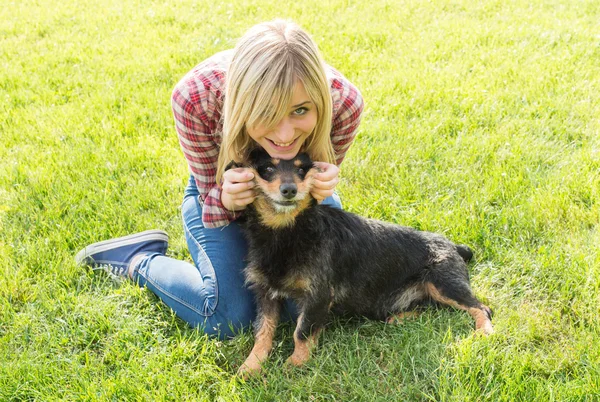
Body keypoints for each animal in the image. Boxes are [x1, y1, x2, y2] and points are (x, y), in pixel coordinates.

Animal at [230, 148, 492, 376]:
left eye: (302, 170)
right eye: (267, 168)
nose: (289, 190)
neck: (287, 231)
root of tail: (453, 245)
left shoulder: (318, 295)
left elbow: (302, 331)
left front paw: (294, 364)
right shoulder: (266, 292)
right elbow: (263, 331)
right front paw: (251, 366)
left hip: (444, 284)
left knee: (482, 308)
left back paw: (484, 332)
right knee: (430, 307)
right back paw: (399, 318)